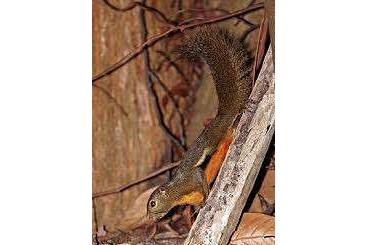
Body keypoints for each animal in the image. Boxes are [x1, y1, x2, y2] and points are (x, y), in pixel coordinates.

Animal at [147, 25, 253, 221]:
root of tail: (222, 116)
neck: (177, 194)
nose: (150, 218)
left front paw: (207, 196)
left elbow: (200, 179)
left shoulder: (192, 179)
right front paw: (197, 209)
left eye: (152, 203)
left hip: (219, 135)